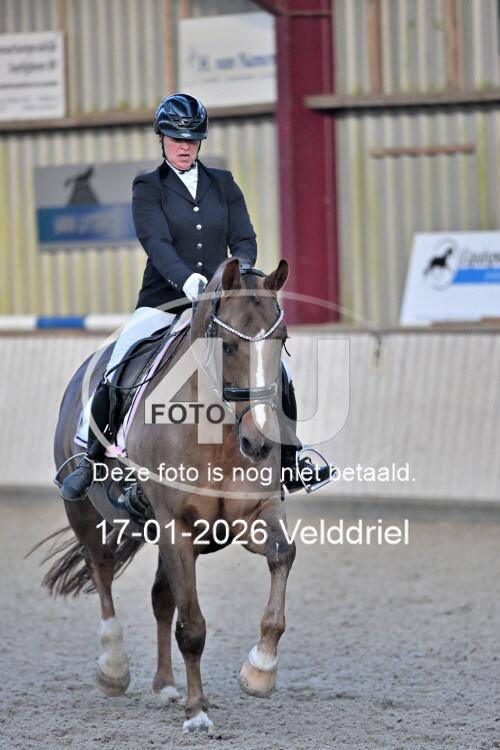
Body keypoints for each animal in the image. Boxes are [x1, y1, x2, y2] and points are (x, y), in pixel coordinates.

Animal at [42, 257, 296, 734]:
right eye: (227, 346)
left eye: (282, 341)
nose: (259, 443)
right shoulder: (175, 527)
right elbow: (192, 627)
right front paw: (198, 713)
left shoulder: (252, 515)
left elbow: (282, 556)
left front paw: (260, 669)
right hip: (83, 513)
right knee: (102, 575)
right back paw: (113, 668)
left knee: (161, 599)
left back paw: (164, 685)